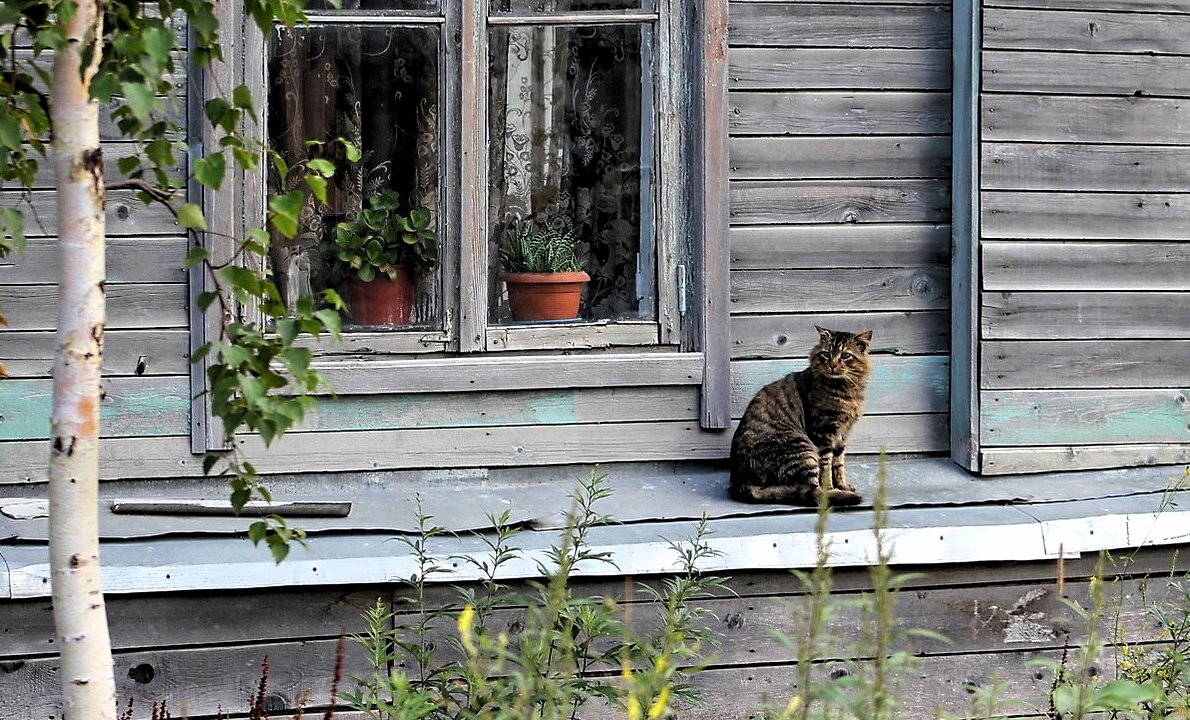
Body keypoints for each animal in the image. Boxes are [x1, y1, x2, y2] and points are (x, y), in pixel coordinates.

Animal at [723, 326, 875, 504]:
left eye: (845, 355)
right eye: (826, 354)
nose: (832, 365)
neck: (845, 390)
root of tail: (741, 483)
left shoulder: (842, 435)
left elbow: (838, 465)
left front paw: (843, 485)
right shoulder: (823, 432)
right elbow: (827, 467)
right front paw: (832, 488)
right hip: (803, 448)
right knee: (812, 489)